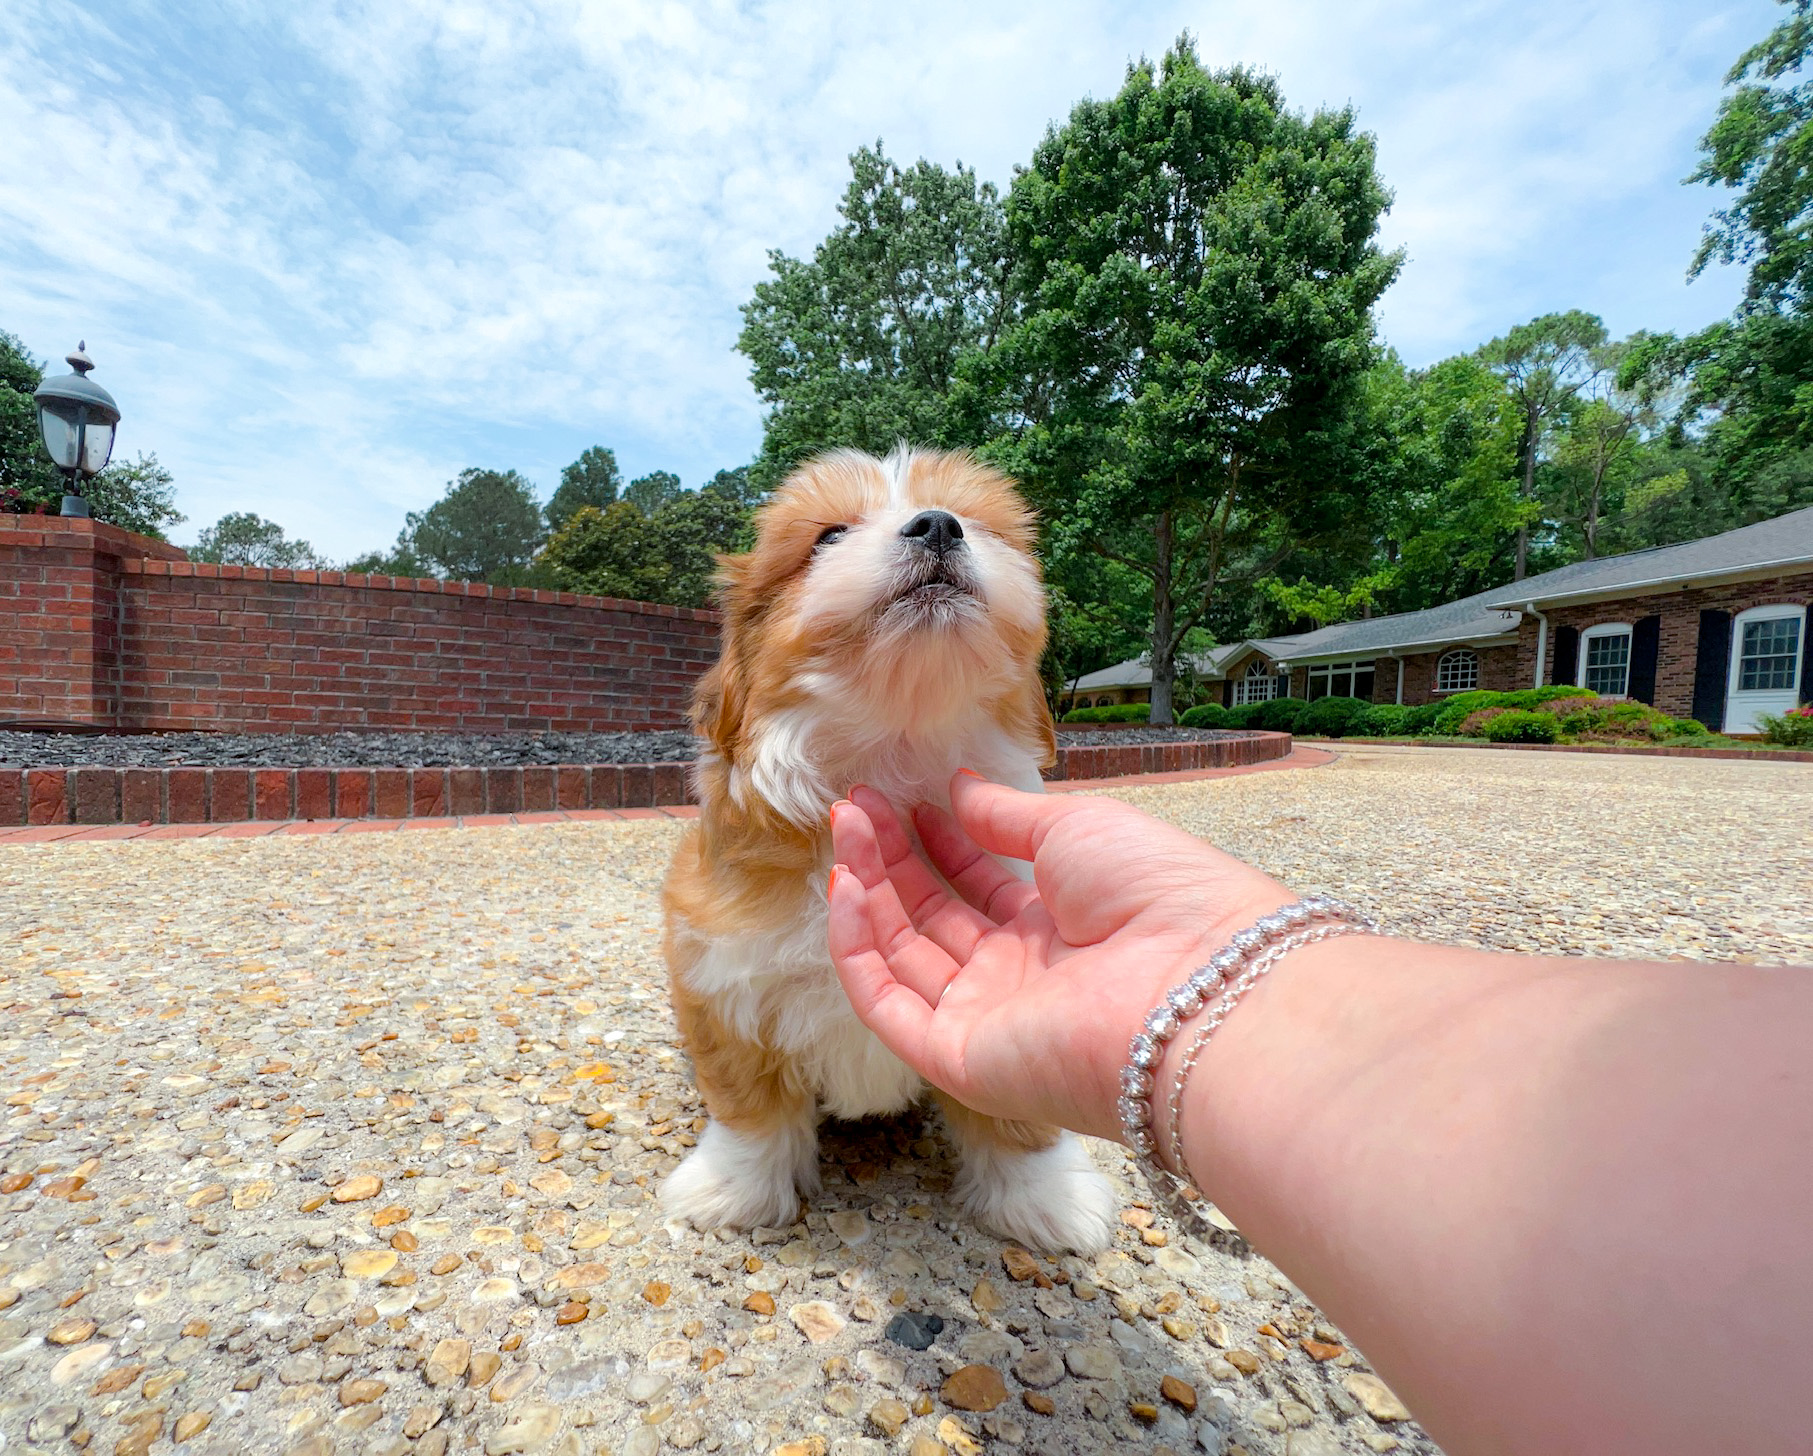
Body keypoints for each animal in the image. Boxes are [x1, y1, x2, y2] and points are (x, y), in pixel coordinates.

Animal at [663, 444, 1109, 1254]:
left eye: (976, 522)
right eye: (828, 536)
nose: (937, 525)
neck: (893, 757)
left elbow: (1013, 1103)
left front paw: (1045, 1196)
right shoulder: (722, 974)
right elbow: (749, 1105)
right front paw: (732, 1191)